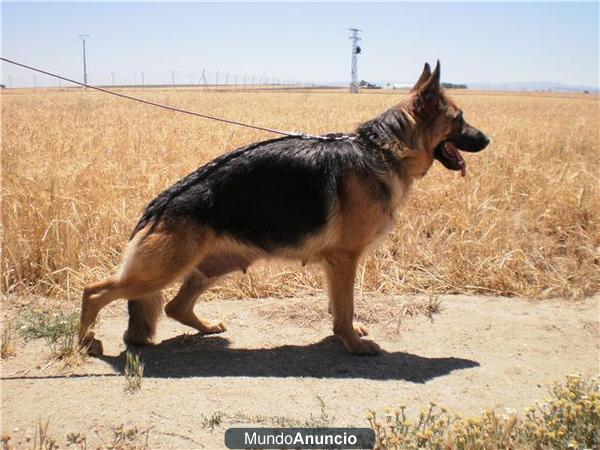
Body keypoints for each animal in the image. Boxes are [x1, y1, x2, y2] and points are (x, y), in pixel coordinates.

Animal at [78, 61, 488, 356]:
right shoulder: (344, 259)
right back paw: (86, 342)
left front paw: (346, 335)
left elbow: (339, 306)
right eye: (459, 119)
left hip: (209, 268)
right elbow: (345, 306)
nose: (487, 139)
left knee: (173, 307)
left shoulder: (336, 265)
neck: (382, 148)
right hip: (158, 272)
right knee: (94, 292)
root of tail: (158, 204)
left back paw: (207, 327)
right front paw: (354, 345)